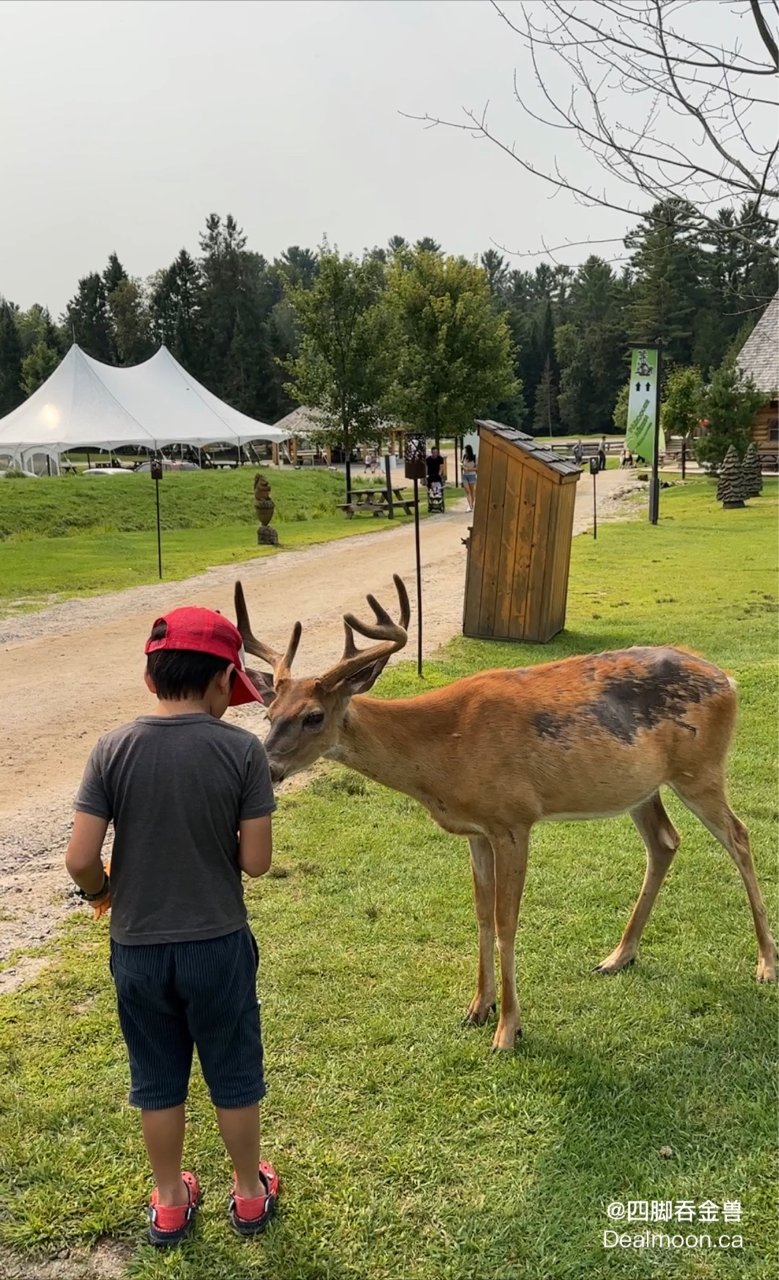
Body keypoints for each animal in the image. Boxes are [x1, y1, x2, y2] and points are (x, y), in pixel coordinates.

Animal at [234, 581, 772, 1049]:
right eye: (268, 713)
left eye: (314, 716)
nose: (269, 766)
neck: (442, 750)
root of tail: (727, 679)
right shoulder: (476, 830)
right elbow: (481, 913)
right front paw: (477, 1007)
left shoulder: (514, 819)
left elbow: (507, 919)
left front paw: (508, 1029)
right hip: (642, 788)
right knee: (665, 842)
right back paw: (619, 956)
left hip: (701, 769)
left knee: (740, 837)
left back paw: (766, 963)